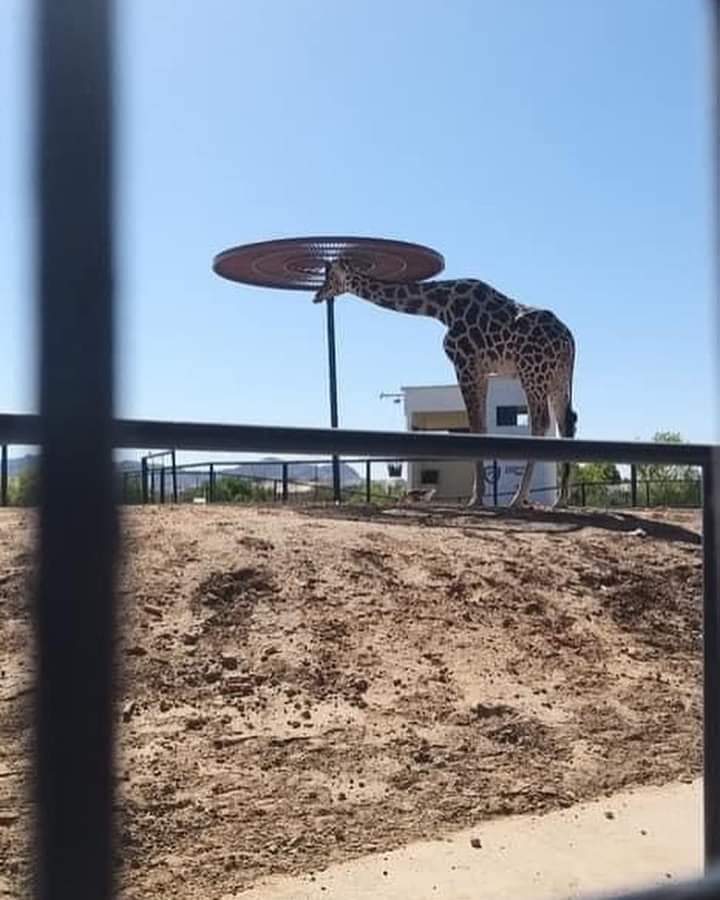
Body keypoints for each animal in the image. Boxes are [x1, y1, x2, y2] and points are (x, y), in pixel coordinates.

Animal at [313, 259, 577, 508]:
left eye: (330, 276)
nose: (317, 295)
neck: (440, 307)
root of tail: (569, 340)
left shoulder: (464, 363)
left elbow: (475, 427)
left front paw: (476, 498)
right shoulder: (481, 371)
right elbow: (482, 426)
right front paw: (478, 494)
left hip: (532, 372)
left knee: (541, 424)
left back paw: (518, 498)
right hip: (557, 377)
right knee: (566, 422)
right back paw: (560, 499)